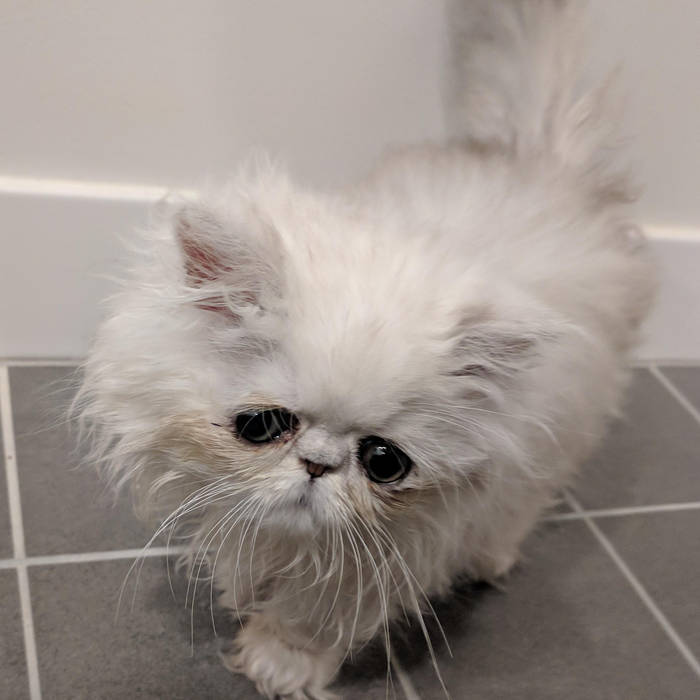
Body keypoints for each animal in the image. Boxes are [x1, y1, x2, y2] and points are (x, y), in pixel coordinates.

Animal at [78, 1, 655, 698]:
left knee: (524, 502)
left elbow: (313, 615)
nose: (318, 465)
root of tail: (540, 161)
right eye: (261, 426)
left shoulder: (392, 551)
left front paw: (277, 662)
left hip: (564, 431)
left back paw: (490, 559)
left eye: (384, 462)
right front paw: (242, 593)